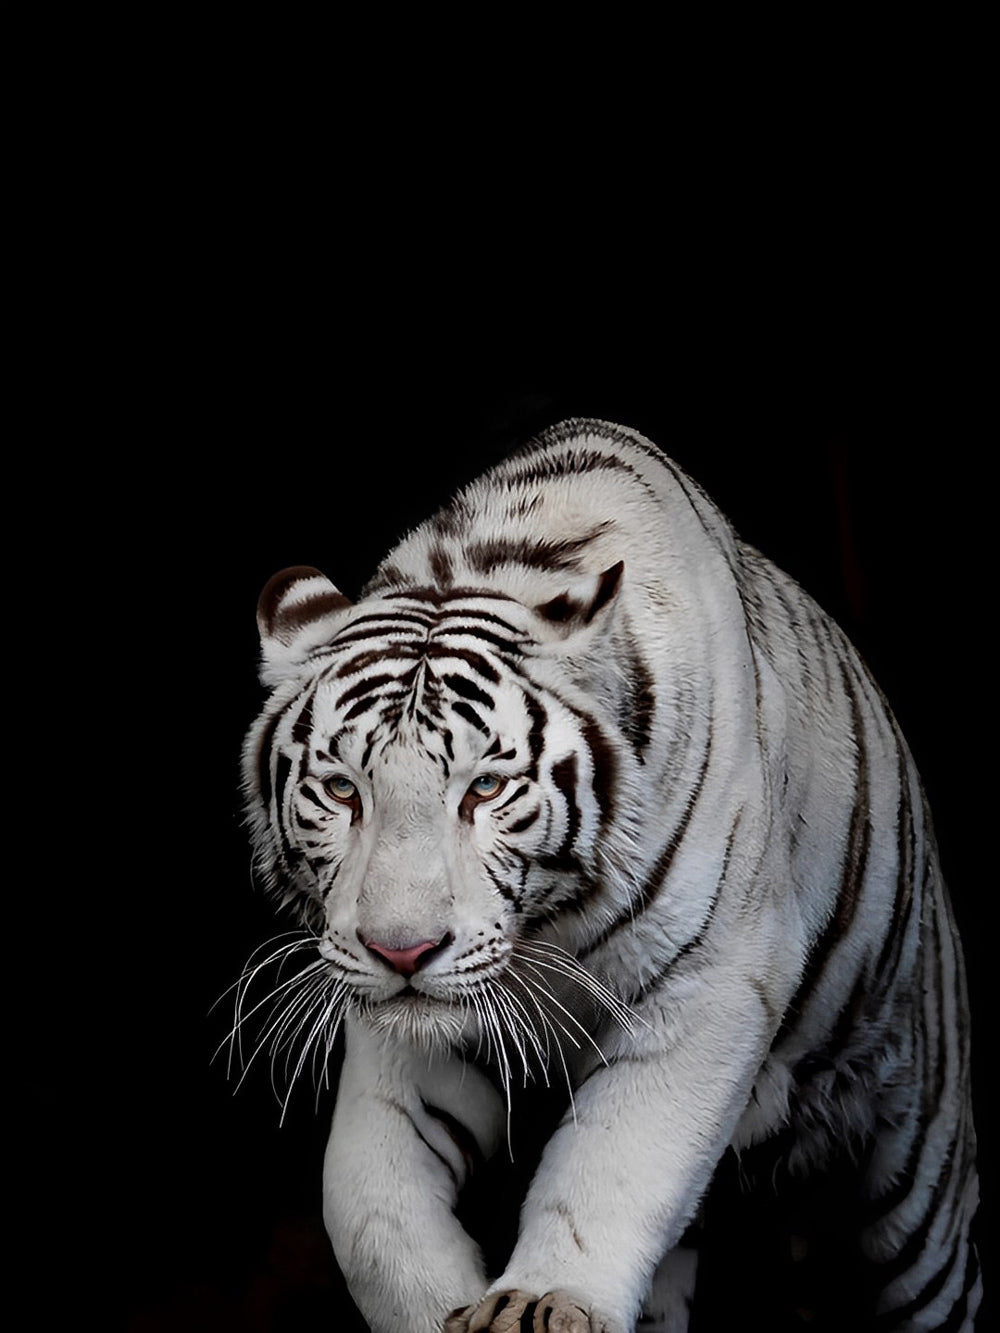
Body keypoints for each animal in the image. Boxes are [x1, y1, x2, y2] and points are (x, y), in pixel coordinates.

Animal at [240, 418, 981, 1332]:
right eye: (344, 789)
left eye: (485, 788)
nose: (402, 951)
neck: (550, 924)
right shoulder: (402, 1032)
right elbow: (369, 1204)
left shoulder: (710, 985)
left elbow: (611, 1166)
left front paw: (541, 1300)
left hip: (913, 1183)